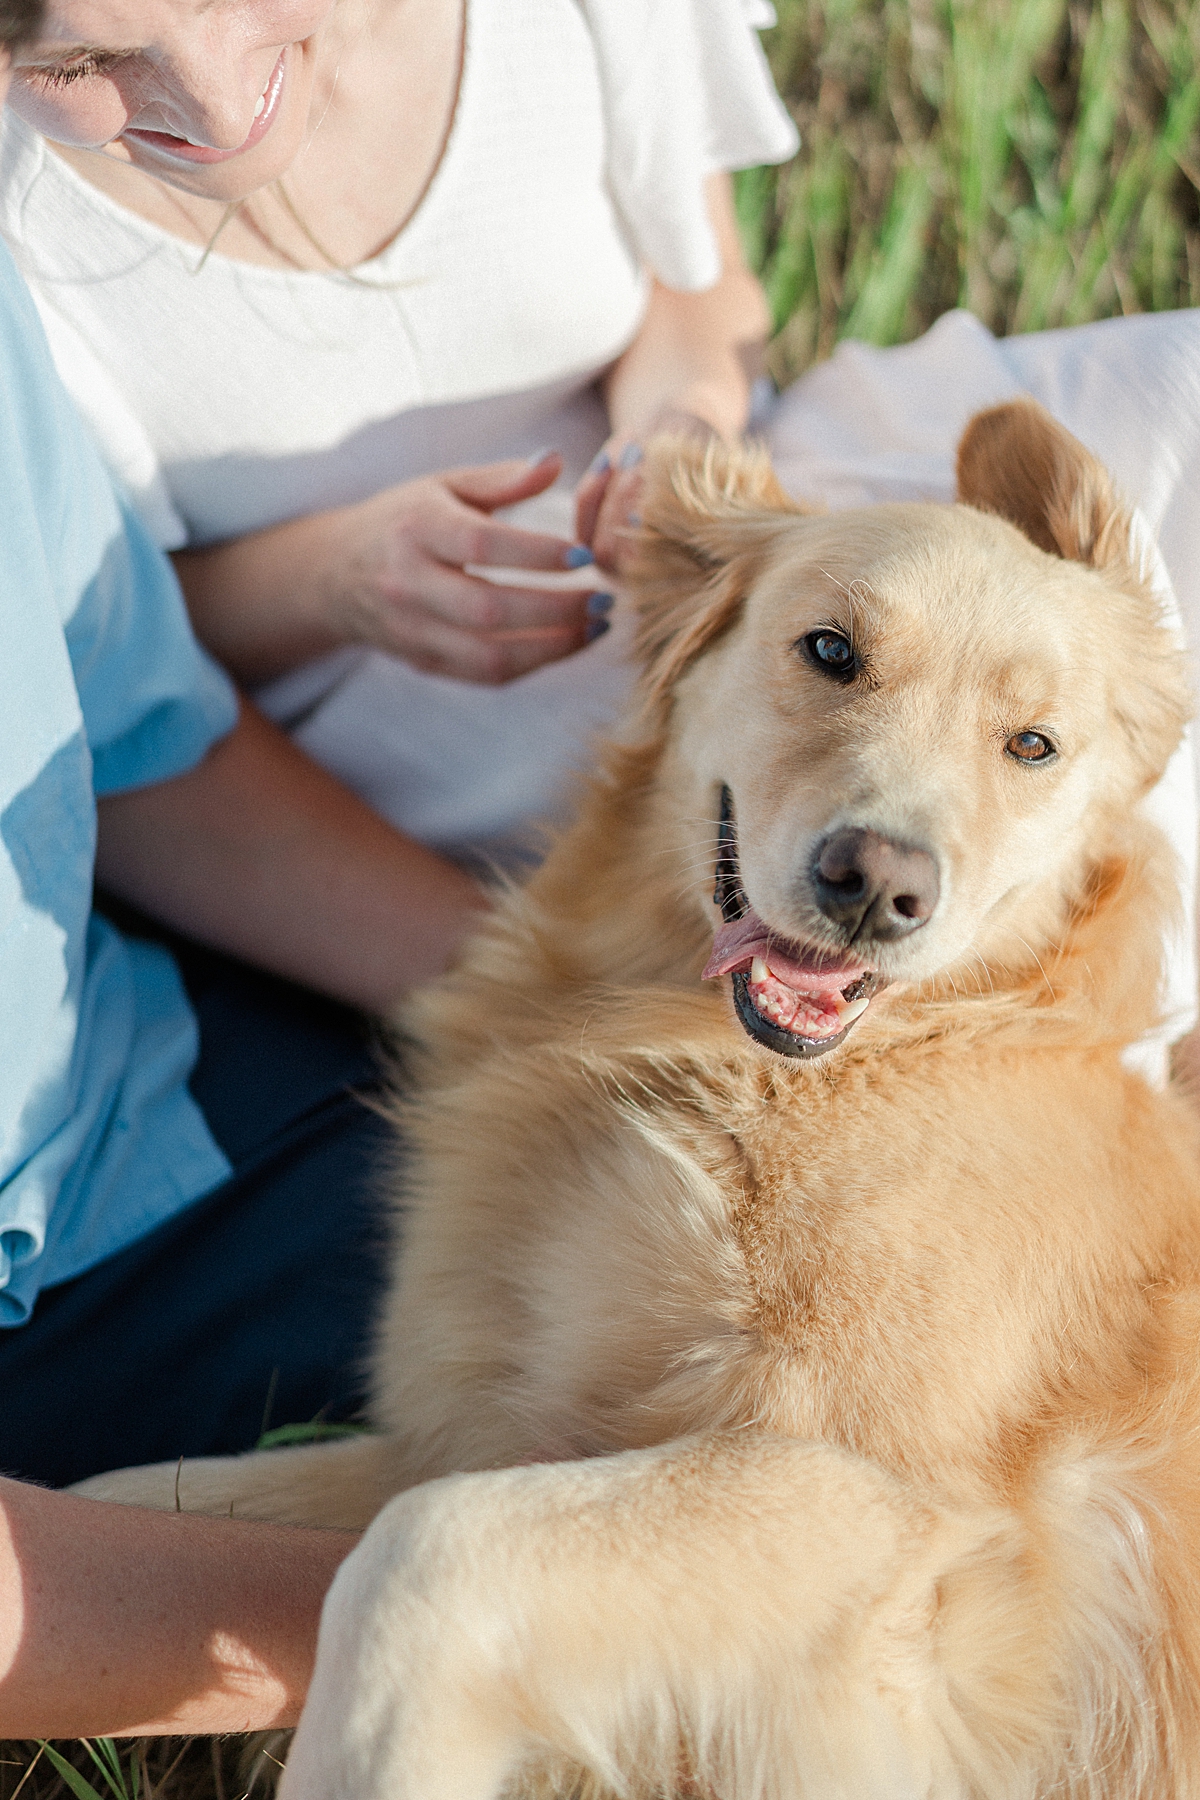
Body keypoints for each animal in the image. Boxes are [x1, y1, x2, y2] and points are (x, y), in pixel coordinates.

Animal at [79, 408, 1200, 1800]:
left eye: (1032, 747)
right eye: (831, 650)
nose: (879, 887)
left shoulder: (919, 1556)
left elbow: (423, 1554)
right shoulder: (477, 1414)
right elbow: (143, 1490)